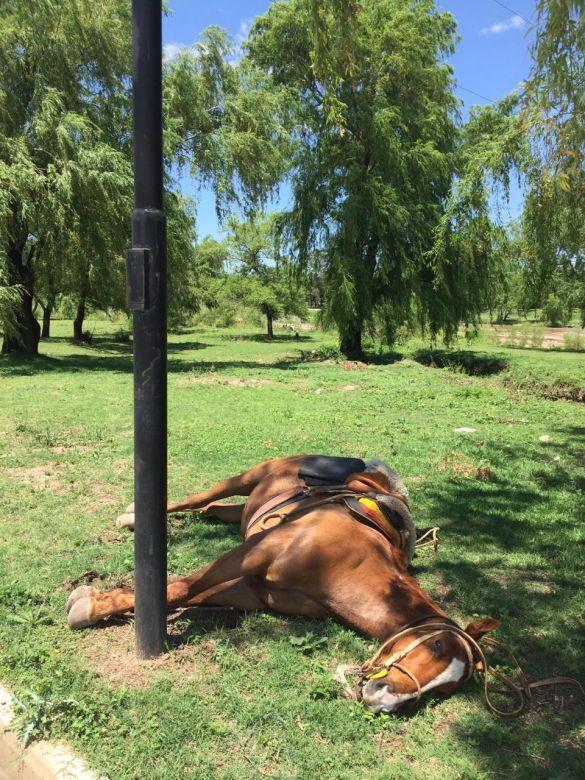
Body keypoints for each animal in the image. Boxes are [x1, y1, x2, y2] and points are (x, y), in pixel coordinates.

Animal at [66, 454, 504, 716]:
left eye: (444, 691)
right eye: (436, 645)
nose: (385, 700)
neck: (347, 564)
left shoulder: (252, 589)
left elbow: (190, 595)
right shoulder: (257, 552)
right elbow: (181, 589)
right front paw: (90, 605)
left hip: (243, 508)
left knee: (212, 510)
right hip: (245, 478)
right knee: (198, 498)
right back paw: (132, 517)